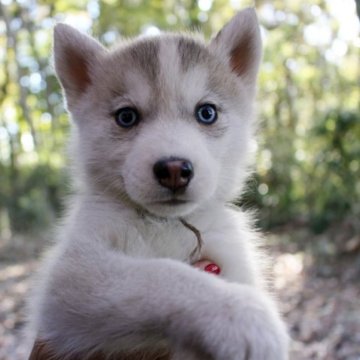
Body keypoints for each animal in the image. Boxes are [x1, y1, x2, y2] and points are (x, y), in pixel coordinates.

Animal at [26, 8, 288, 360]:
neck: (165, 224)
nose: (174, 169)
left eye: (207, 113)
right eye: (126, 117)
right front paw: (239, 314)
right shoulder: (69, 275)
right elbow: (158, 273)